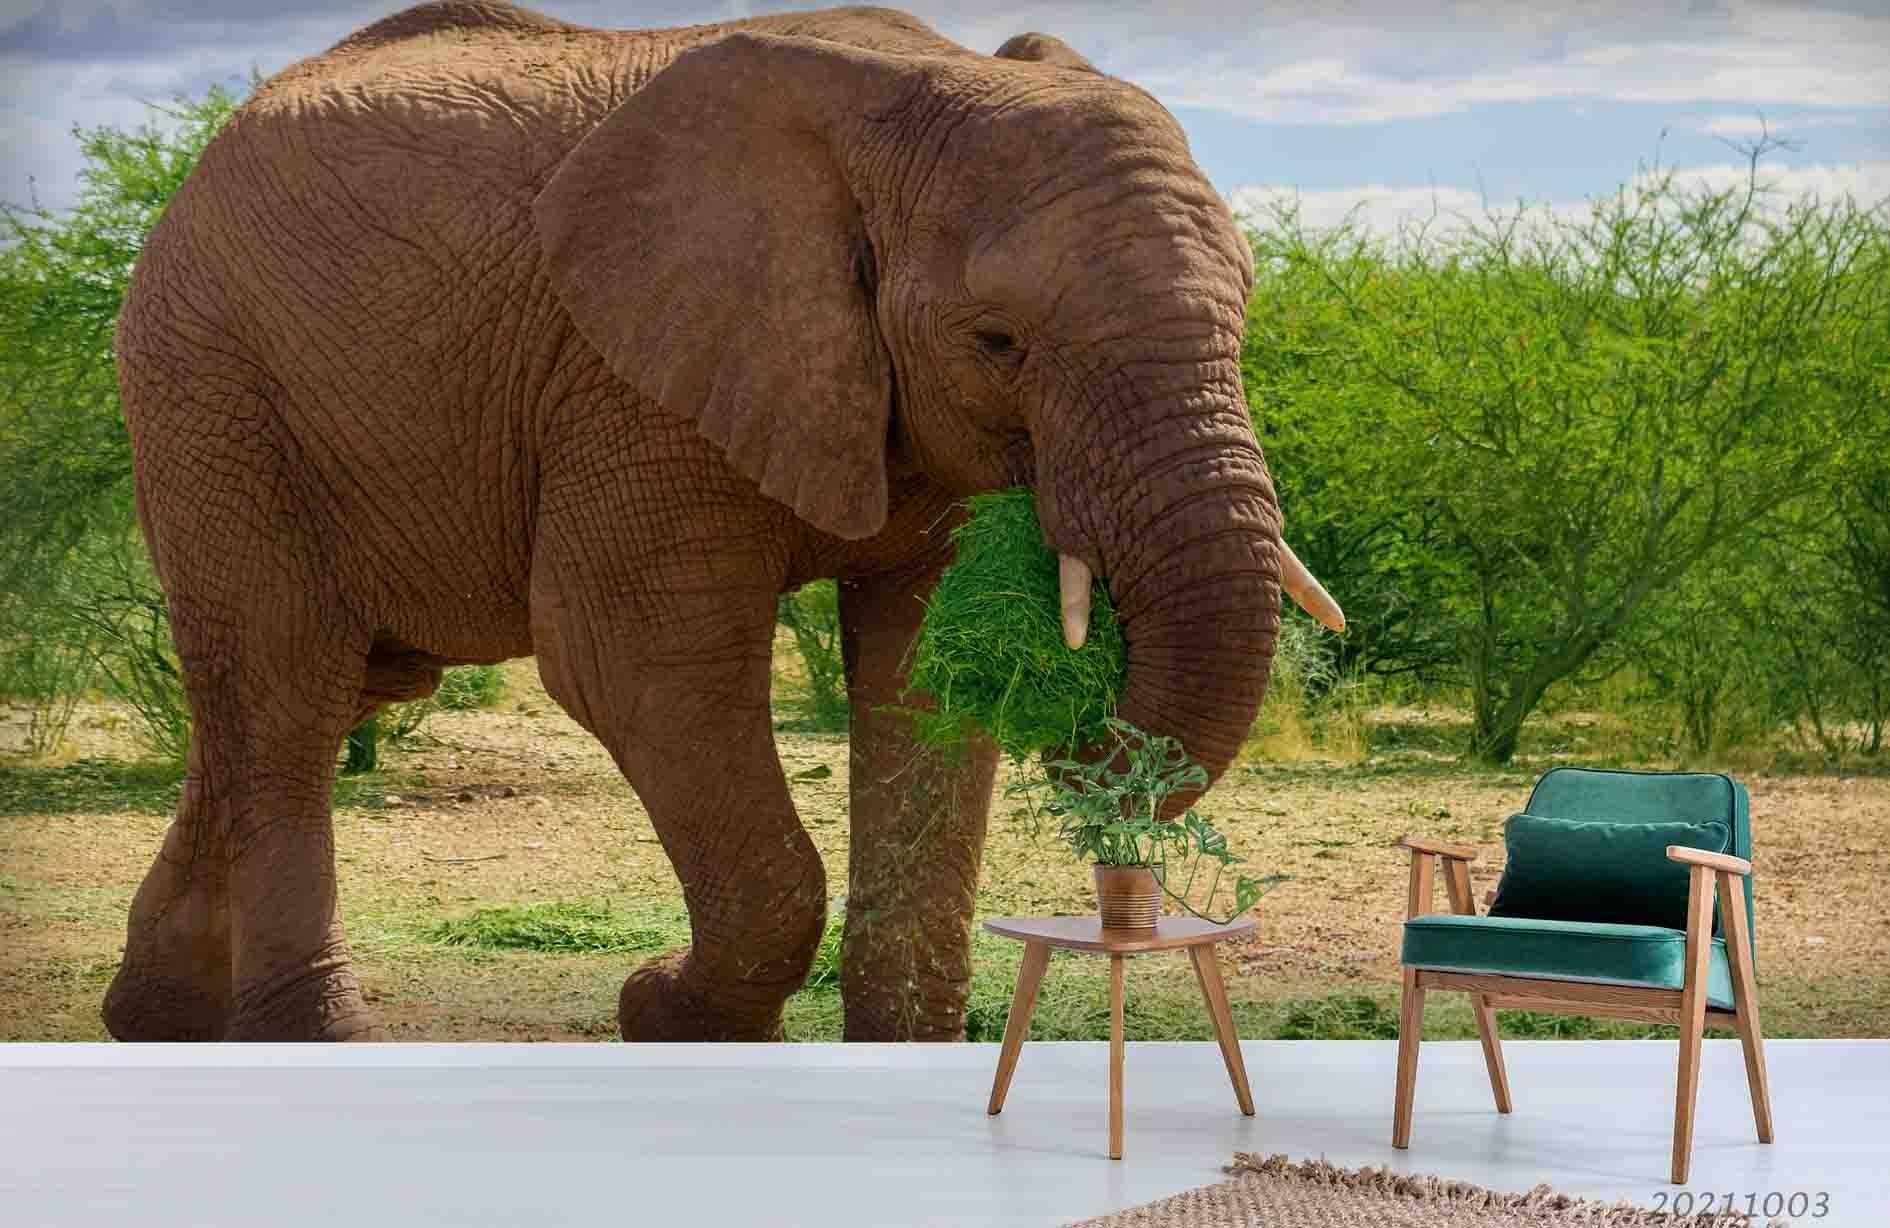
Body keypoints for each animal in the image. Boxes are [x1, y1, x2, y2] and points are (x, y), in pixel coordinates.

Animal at [106, 0, 1340, 1043]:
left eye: (1247, 308)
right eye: (998, 341)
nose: (1087, 728)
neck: (906, 92)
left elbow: (922, 674)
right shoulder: (624, 379)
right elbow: (638, 662)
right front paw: (661, 1014)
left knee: (310, 696)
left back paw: (153, 1018)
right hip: (211, 385)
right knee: (289, 687)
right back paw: (307, 1039)